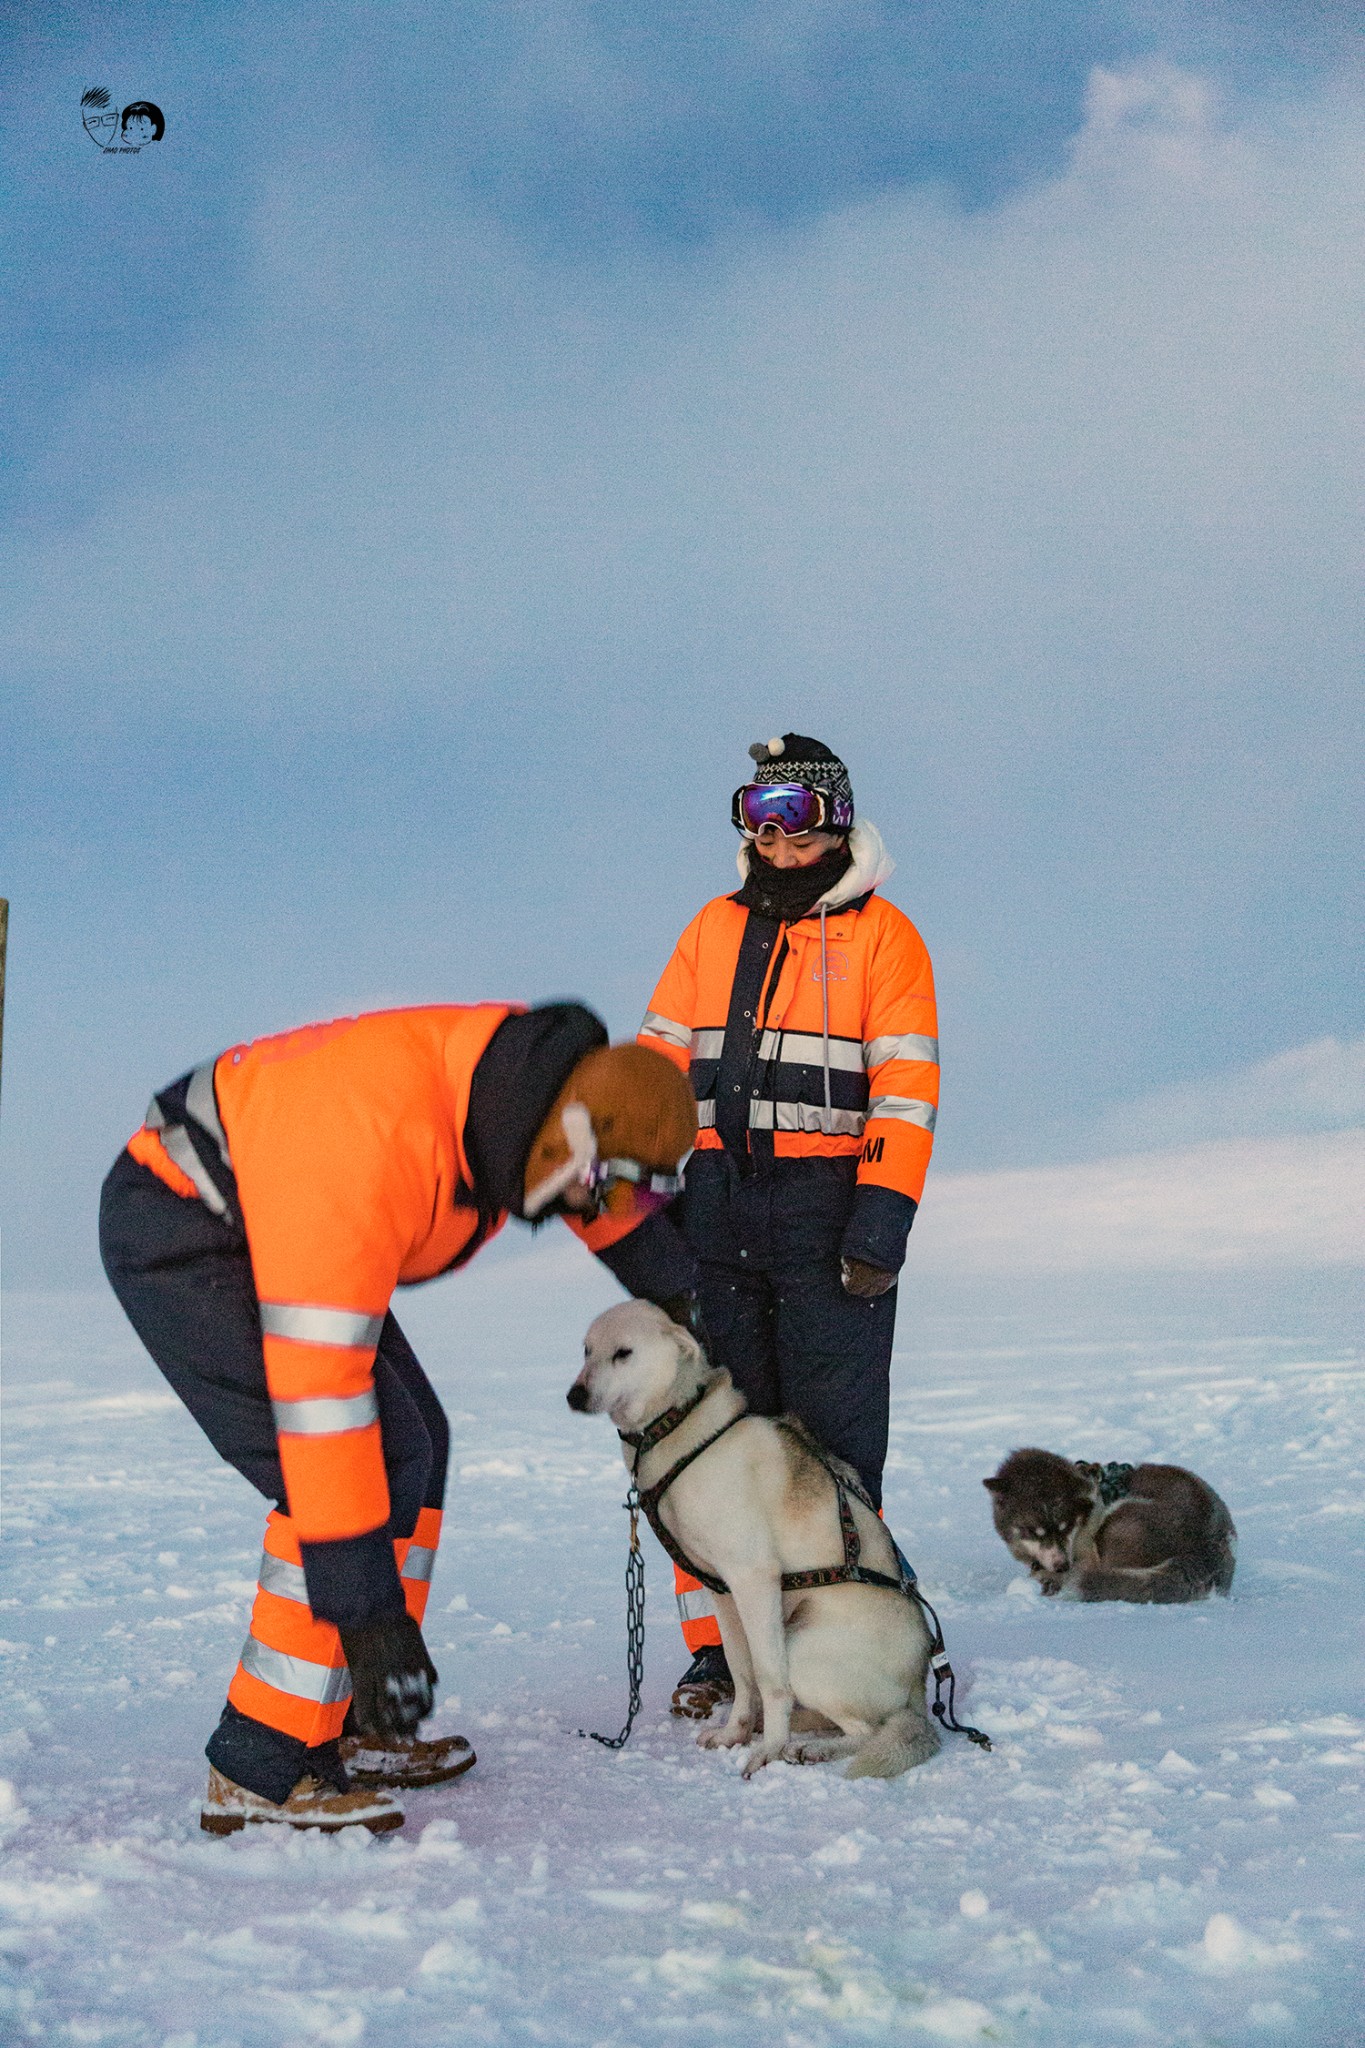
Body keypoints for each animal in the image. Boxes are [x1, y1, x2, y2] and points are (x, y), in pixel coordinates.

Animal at [564, 1310, 941, 1777]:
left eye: (623, 1352)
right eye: (586, 1351)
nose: (574, 1395)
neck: (677, 1429)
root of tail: (919, 1688)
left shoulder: (754, 1580)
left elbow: (768, 1679)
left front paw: (769, 1751)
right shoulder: (722, 1589)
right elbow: (741, 1674)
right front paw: (735, 1733)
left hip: (802, 1648)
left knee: (869, 1730)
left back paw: (810, 1748)